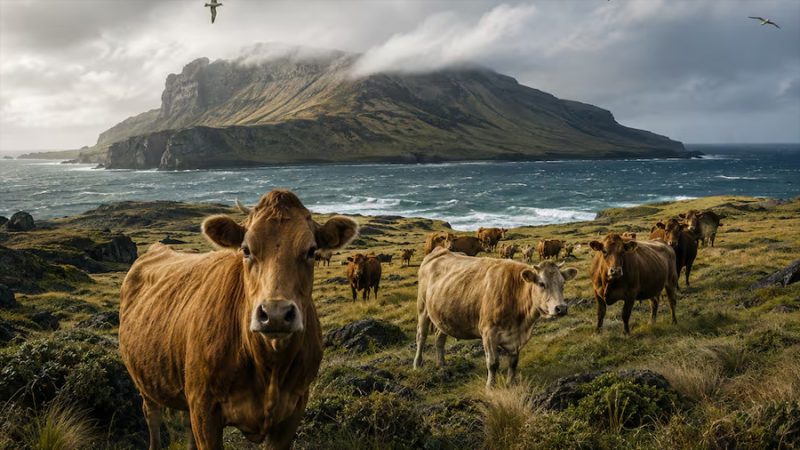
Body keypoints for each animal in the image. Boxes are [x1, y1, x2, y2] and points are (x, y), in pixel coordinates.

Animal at [119, 190, 358, 450]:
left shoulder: (294, 409)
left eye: (312, 251)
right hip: (144, 380)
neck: (269, 367)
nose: (275, 314)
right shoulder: (204, 408)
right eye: (246, 250)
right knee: (152, 416)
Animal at [414, 248, 577, 387]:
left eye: (563, 283)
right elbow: (493, 364)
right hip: (423, 308)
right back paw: (417, 364)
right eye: (541, 283)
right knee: (421, 336)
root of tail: (440, 250)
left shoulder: (516, 339)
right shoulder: (488, 333)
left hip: (443, 315)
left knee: (439, 338)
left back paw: (441, 364)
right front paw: (490, 387)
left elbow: (513, 363)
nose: (561, 308)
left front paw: (510, 384)